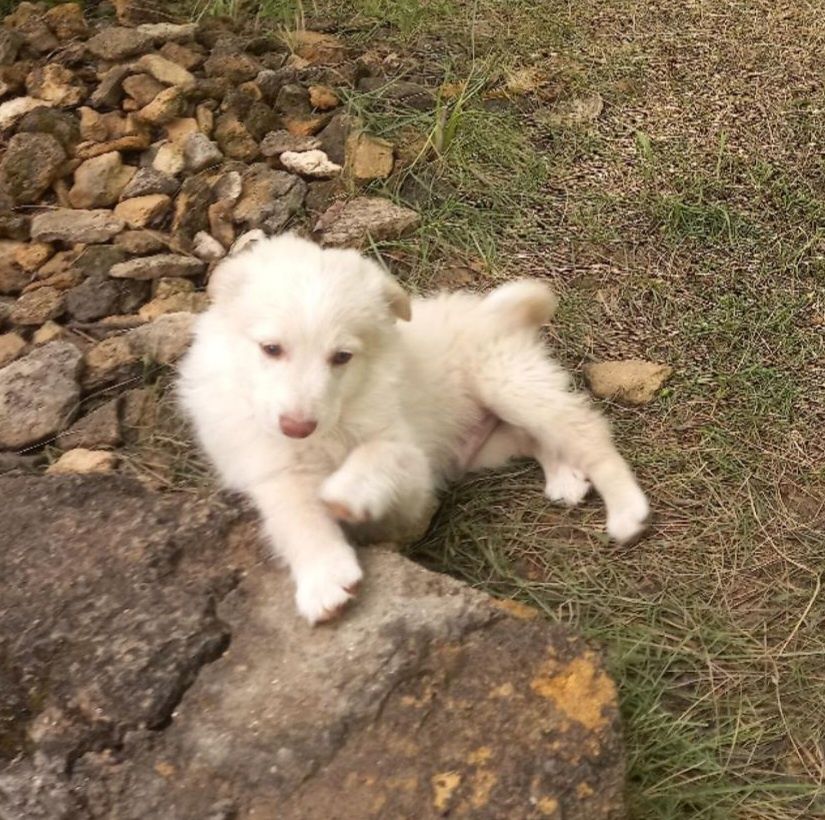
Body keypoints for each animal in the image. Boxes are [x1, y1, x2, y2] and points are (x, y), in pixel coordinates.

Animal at [177, 234, 648, 624]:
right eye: (271, 349)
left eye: (342, 357)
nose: (297, 427)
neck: (336, 423)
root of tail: (491, 311)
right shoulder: (272, 470)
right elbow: (297, 519)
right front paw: (324, 579)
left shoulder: (413, 469)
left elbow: (375, 454)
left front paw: (343, 493)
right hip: (492, 439)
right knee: (540, 438)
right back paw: (565, 476)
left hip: (507, 382)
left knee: (585, 431)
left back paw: (626, 509)